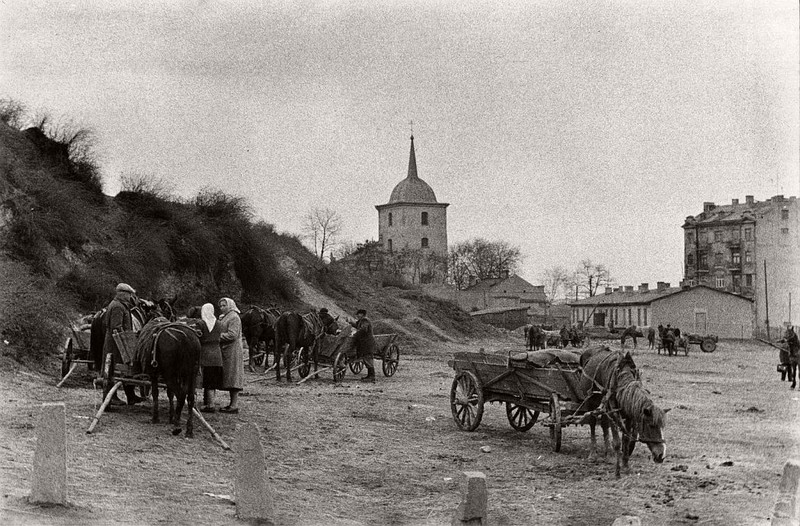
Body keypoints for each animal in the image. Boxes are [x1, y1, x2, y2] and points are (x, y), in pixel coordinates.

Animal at [580, 344, 664, 480]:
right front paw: (617, 471)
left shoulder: (629, 416)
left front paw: (625, 465)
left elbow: (626, 440)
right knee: (592, 423)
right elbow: (617, 443)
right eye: (651, 426)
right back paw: (593, 454)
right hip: (590, 403)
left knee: (604, 424)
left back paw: (608, 453)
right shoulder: (614, 414)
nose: (661, 455)